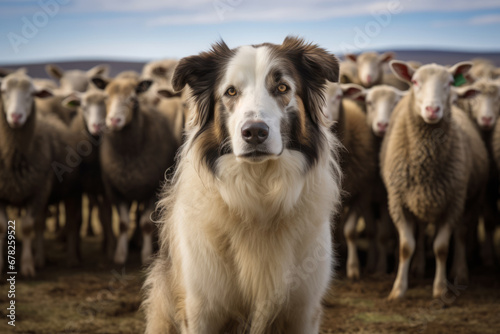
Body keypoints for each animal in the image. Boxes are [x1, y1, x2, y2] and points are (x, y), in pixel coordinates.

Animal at [91, 77, 179, 264]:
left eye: (133, 99)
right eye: (106, 98)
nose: (114, 121)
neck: (129, 154)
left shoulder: (153, 190)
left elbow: (146, 223)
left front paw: (146, 256)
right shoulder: (115, 191)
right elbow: (123, 224)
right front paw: (120, 255)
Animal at [143, 36, 342, 334]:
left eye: (282, 87)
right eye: (231, 92)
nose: (255, 132)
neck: (258, 197)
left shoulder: (303, 311)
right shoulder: (200, 310)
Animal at [380, 60, 486, 300]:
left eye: (449, 82)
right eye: (415, 82)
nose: (432, 110)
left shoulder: (452, 203)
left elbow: (441, 247)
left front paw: (440, 289)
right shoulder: (398, 203)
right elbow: (406, 247)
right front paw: (398, 290)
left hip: (470, 201)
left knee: (462, 234)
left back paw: (460, 272)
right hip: (420, 201)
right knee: (420, 231)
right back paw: (419, 267)